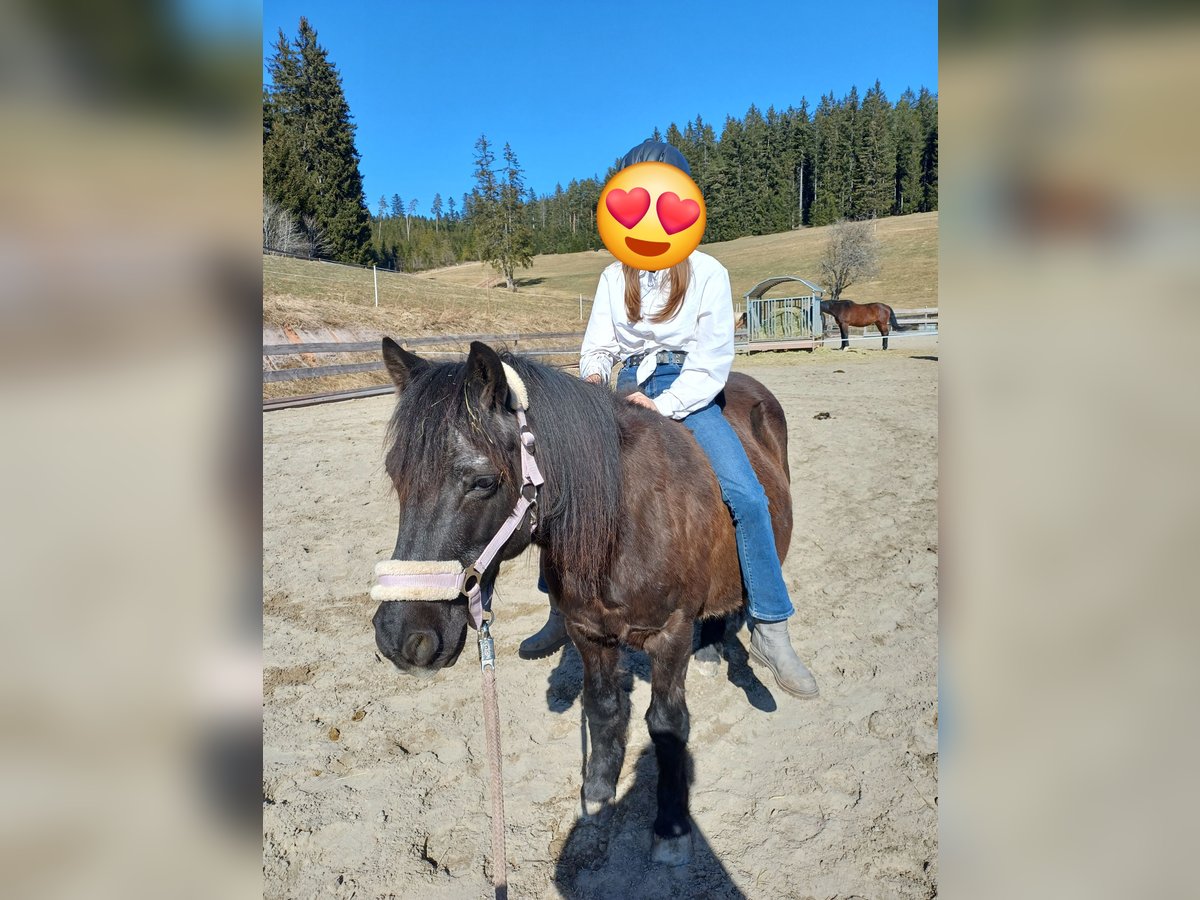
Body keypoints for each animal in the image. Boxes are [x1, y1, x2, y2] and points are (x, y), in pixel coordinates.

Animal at [371, 339, 793, 866]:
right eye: (396, 475)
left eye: (483, 482)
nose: (402, 636)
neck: (626, 520)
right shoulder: (588, 632)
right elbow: (603, 707)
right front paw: (597, 792)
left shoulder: (670, 633)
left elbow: (668, 723)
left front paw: (672, 826)